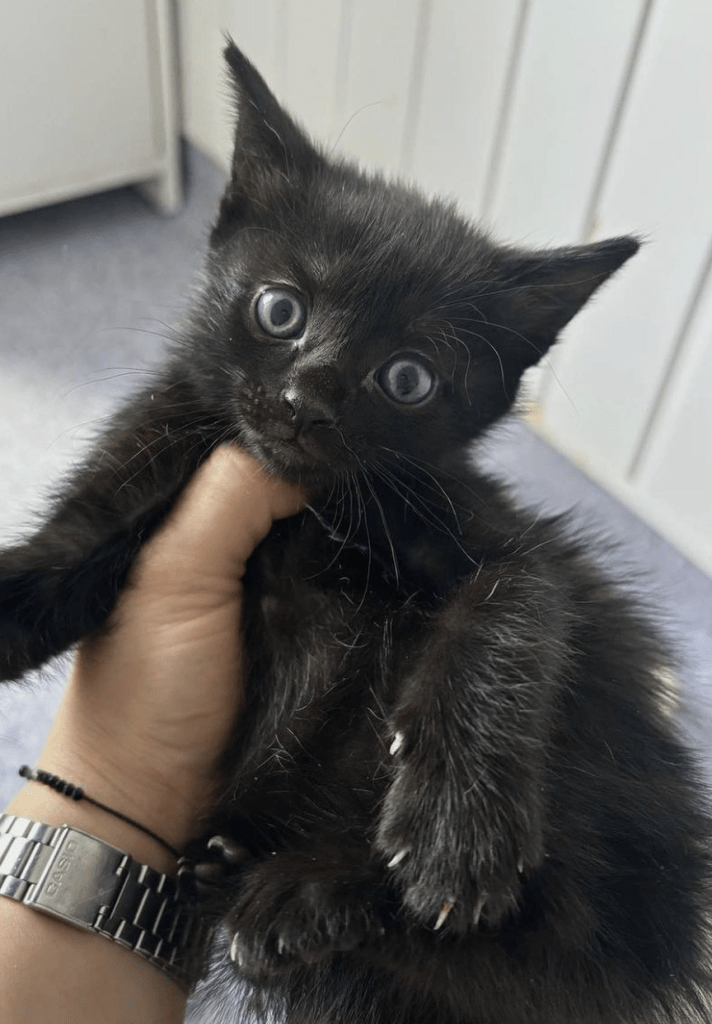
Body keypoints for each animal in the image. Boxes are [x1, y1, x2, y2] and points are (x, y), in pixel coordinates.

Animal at [1, 41, 712, 1024]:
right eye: (279, 310)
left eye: (407, 378)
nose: (306, 402)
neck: (306, 507)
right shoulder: (159, 442)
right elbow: (69, 546)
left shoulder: (504, 538)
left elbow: (512, 604)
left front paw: (457, 826)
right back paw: (272, 898)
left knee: (535, 935)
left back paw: (306, 897)